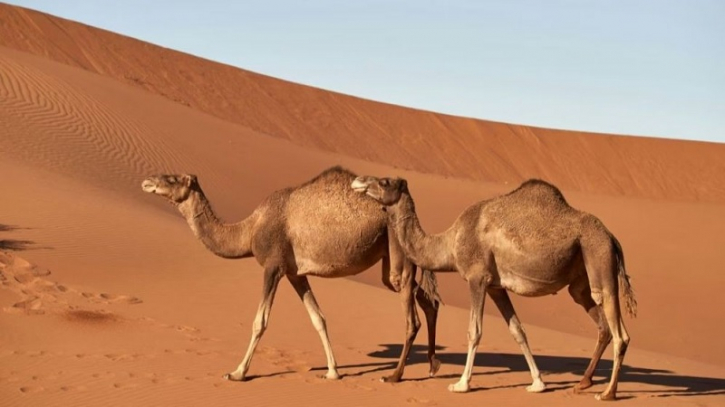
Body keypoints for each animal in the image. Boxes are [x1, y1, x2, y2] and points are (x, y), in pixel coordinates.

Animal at [141, 166, 441, 383]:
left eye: (172, 178)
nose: (147, 181)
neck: (249, 229)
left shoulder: (273, 265)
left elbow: (260, 321)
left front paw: (237, 372)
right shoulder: (295, 272)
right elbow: (318, 318)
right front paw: (333, 371)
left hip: (398, 255)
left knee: (411, 317)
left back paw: (396, 376)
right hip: (390, 262)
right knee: (429, 301)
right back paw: (432, 366)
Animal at [351, 176, 637, 401]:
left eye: (384, 182)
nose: (358, 181)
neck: (450, 243)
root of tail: (612, 238)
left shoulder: (477, 278)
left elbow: (474, 331)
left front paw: (461, 384)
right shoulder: (496, 286)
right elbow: (518, 331)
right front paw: (538, 383)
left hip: (598, 256)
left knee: (620, 332)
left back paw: (608, 393)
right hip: (581, 281)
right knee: (601, 324)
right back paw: (583, 383)